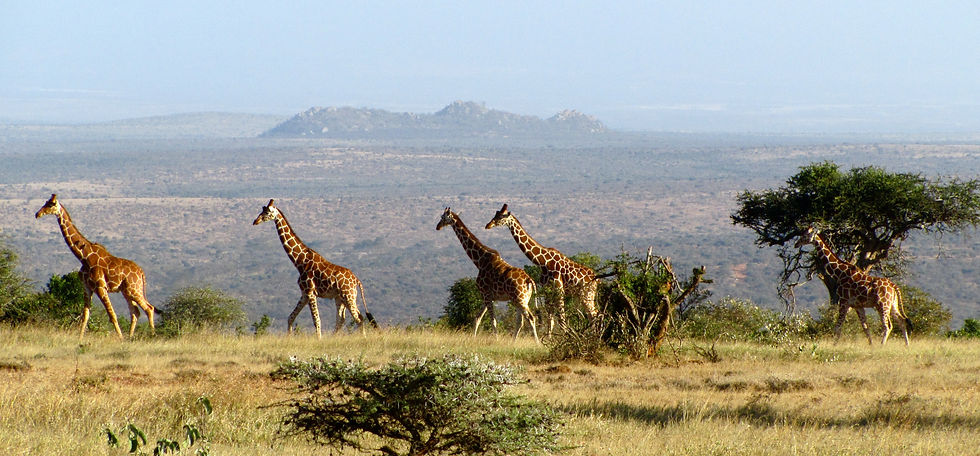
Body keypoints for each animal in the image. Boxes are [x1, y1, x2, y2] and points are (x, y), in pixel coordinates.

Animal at [34, 194, 155, 339]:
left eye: (51, 204)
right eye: (45, 202)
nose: (37, 214)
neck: (84, 257)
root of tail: (141, 272)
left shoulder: (100, 287)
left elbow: (112, 315)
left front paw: (120, 339)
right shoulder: (87, 287)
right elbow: (85, 315)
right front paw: (80, 338)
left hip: (134, 289)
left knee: (149, 308)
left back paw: (152, 335)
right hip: (126, 291)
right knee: (135, 312)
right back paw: (130, 337)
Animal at [253, 199, 370, 338]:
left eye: (267, 212)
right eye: (262, 210)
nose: (255, 221)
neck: (299, 261)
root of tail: (357, 280)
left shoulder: (310, 292)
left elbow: (316, 320)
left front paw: (319, 339)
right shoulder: (304, 293)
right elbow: (291, 317)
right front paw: (288, 338)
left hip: (348, 296)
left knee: (358, 318)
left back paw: (362, 338)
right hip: (340, 298)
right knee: (343, 319)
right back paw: (334, 337)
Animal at [437, 207, 540, 343]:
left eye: (443, 217)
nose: (437, 226)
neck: (479, 261)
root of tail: (529, 280)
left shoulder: (486, 294)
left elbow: (493, 321)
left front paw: (496, 340)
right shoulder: (488, 296)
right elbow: (477, 318)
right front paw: (474, 338)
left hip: (520, 299)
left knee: (531, 318)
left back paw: (537, 343)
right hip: (522, 299)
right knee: (521, 321)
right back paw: (513, 343)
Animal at [485, 204, 598, 333]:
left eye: (500, 216)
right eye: (495, 213)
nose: (488, 225)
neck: (543, 262)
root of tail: (597, 279)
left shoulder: (559, 289)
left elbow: (562, 320)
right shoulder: (547, 291)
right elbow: (550, 320)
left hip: (587, 294)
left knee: (594, 314)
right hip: (583, 295)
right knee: (593, 315)